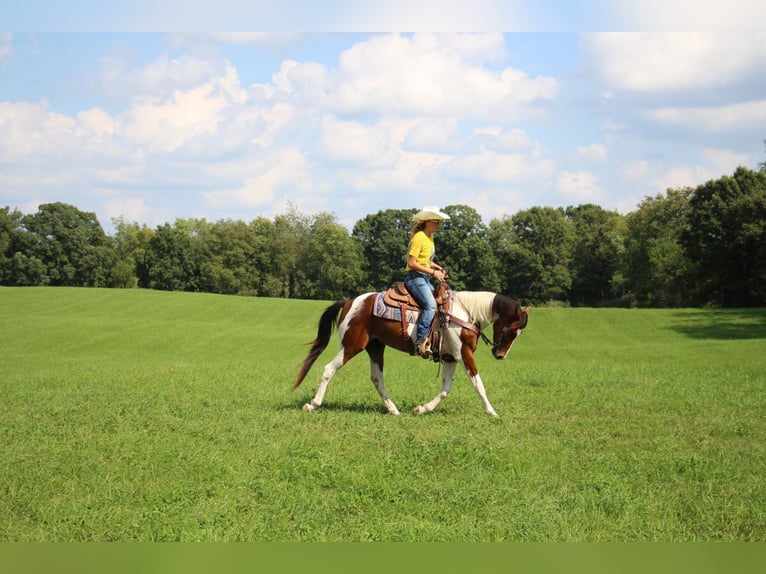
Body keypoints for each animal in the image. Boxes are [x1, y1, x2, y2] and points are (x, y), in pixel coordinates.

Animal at [292, 288, 532, 418]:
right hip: (351, 346)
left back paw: (393, 409)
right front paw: (492, 412)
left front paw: (422, 409)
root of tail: (350, 302)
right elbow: (478, 384)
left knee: (377, 378)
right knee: (328, 369)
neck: (465, 313)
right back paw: (312, 404)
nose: (500, 355)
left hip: (375, 347)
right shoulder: (463, 354)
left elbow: (445, 389)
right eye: (512, 330)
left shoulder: (450, 358)